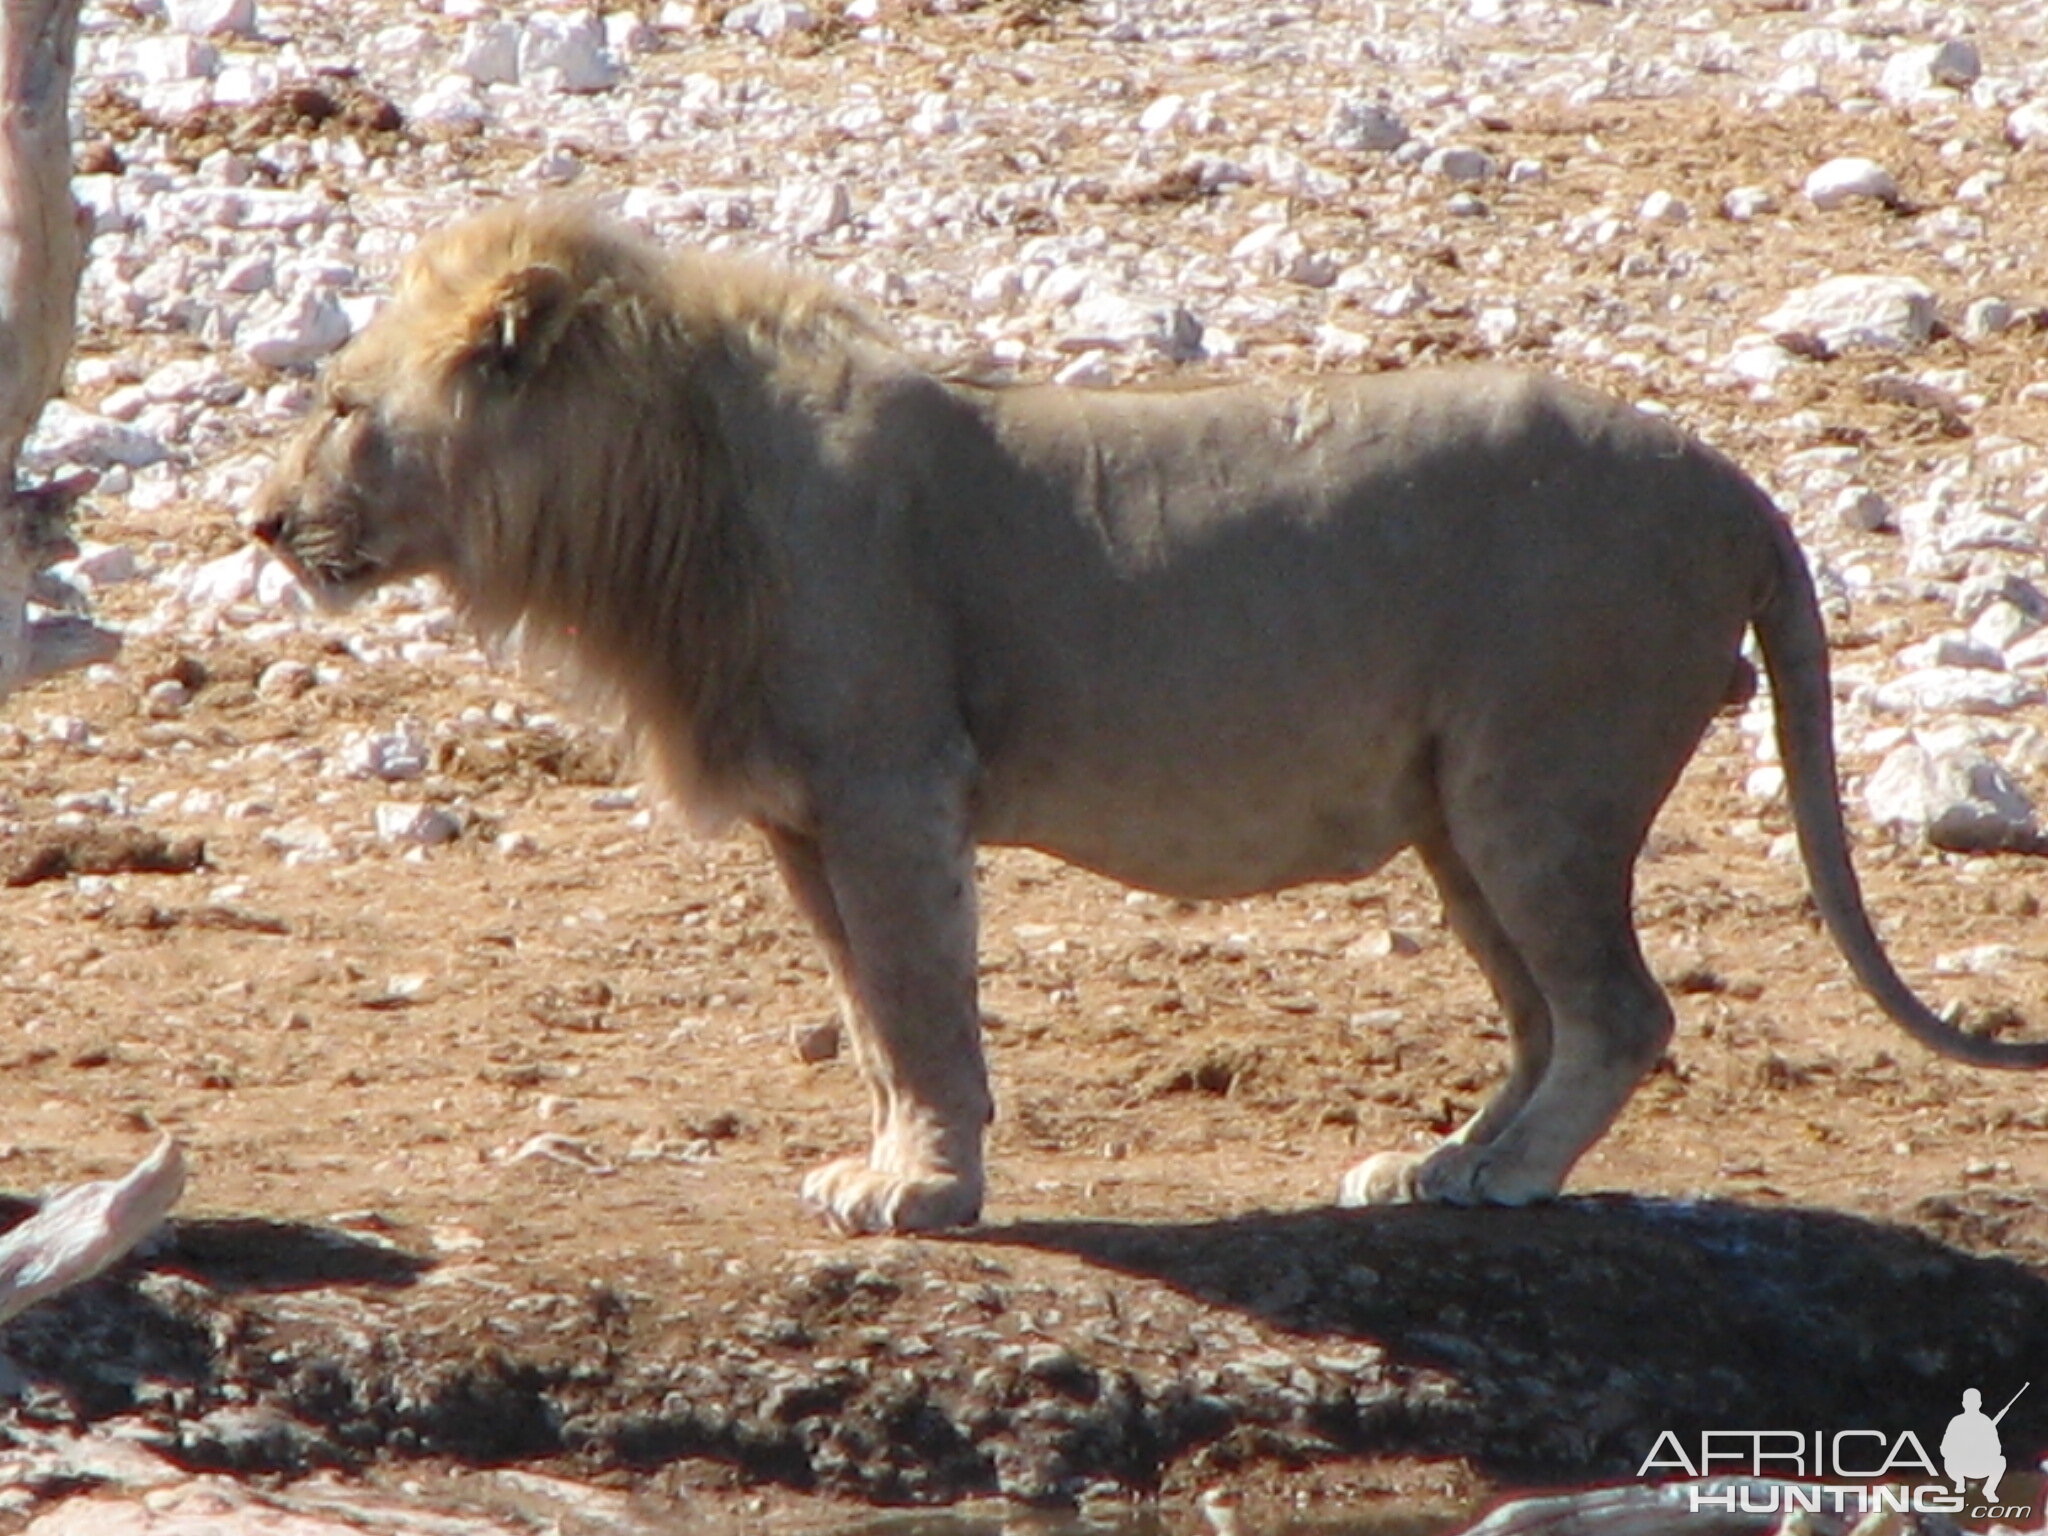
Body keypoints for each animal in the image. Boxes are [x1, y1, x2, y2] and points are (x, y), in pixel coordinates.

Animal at [251, 201, 2048, 1236]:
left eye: (341, 406)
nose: (263, 524)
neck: (651, 499)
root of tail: (1734, 481)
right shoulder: (804, 820)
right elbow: (872, 1012)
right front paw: (891, 1166)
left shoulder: (891, 786)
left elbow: (921, 1003)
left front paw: (927, 1194)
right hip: (1458, 817)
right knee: (1549, 1015)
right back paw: (1427, 1171)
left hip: (1540, 777)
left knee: (1618, 1010)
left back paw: (1503, 1175)